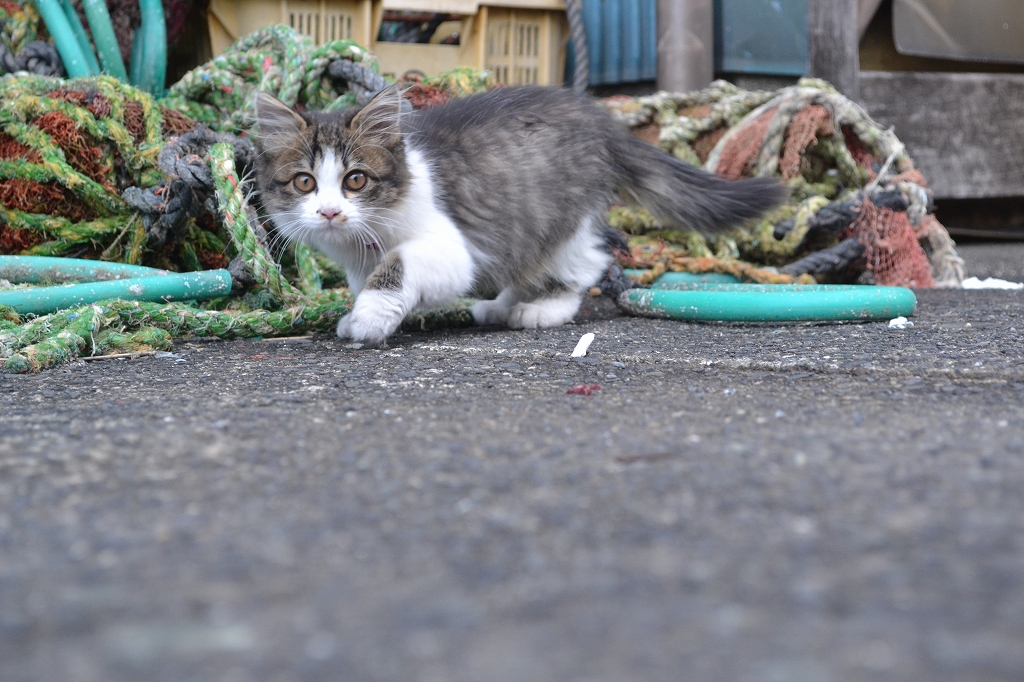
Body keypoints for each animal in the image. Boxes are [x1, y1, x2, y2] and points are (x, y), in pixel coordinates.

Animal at [253, 83, 782, 346]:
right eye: (305, 183)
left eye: (356, 181)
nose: (328, 212)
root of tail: (598, 117)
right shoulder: (360, 261)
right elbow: (370, 280)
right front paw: (363, 311)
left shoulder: (451, 250)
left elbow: (397, 267)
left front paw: (369, 320)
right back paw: (501, 305)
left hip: (561, 222)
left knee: (590, 261)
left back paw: (539, 309)